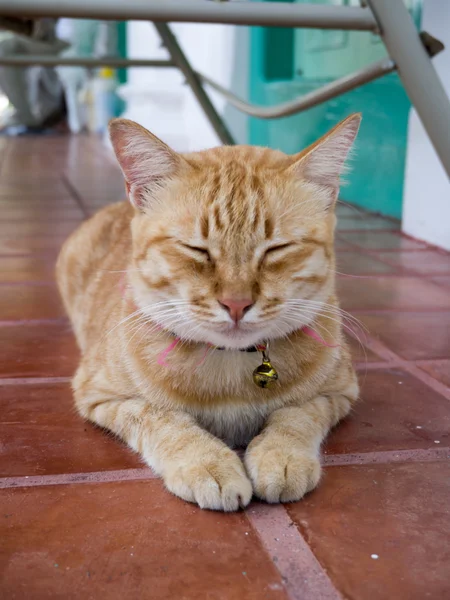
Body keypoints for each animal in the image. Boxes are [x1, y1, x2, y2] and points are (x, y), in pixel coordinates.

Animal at [57, 116, 362, 510]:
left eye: (276, 249)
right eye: (196, 250)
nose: (236, 303)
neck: (230, 370)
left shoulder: (338, 393)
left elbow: (297, 415)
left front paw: (281, 455)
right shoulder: (102, 395)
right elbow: (163, 419)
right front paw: (207, 463)